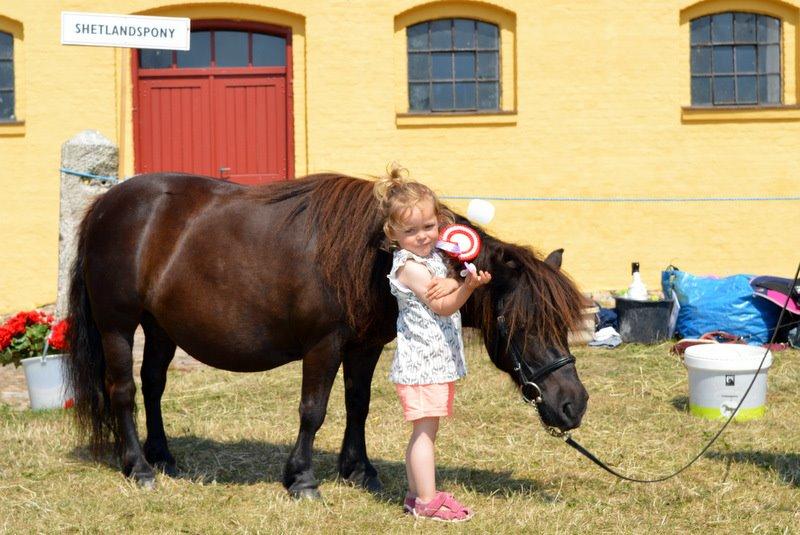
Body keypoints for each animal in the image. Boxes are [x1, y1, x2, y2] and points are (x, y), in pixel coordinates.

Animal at [67, 173, 588, 498]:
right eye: (523, 324)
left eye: (562, 324)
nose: (573, 404)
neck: (372, 255)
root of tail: (104, 206)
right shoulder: (324, 346)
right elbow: (313, 410)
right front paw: (302, 479)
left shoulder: (366, 345)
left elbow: (358, 404)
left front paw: (358, 470)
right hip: (118, 326)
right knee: (124, 391)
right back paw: (139, 467)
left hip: (160, 327)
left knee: (154, 385)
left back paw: (164, 457)